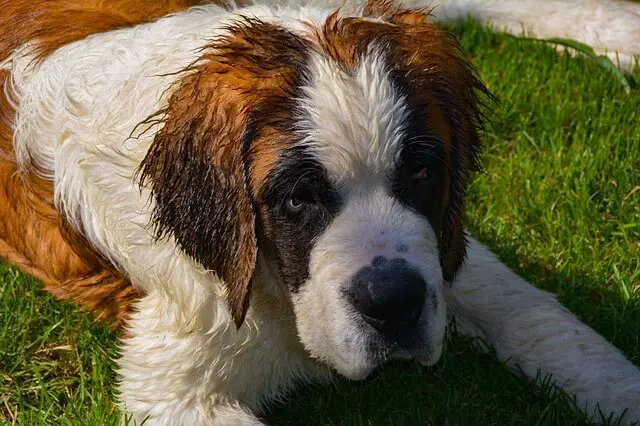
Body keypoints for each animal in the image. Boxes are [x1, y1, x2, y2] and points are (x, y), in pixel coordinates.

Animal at [1, 0, 640, 422]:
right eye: (297, 198)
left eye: (421, 173)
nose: (394, 303)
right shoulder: (172, 382)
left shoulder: (443, 245)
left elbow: (539, 322)